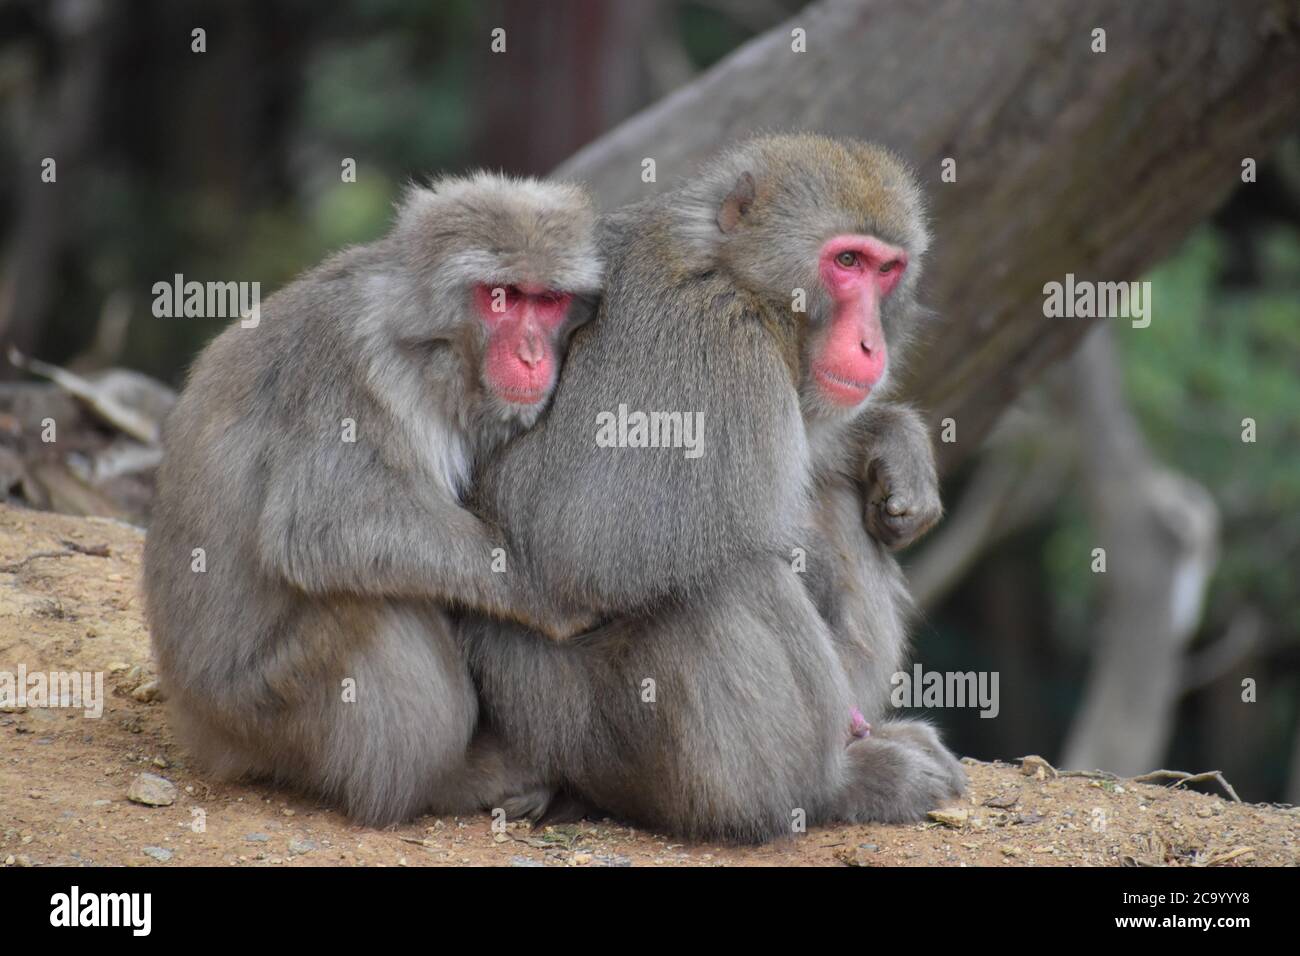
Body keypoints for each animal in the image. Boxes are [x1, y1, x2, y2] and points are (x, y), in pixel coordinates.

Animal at [143, 171, 603, 822]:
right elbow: (324, 525)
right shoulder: (352, 374)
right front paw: (543, 593)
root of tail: (199, 725)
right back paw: (442, 781)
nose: (532, 355)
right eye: (503, 296)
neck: (431, 347)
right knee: (372, 602)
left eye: (547, 301)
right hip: (271, 707)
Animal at [467, 136, 967, 842]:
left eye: (887, 270)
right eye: (847, 261)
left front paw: (897, 446)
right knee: (732, 578)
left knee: (836, 507)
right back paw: (830, 789)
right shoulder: (720, 346)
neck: (740, 277)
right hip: (581, 730)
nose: (872, 344)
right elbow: (582, 544)